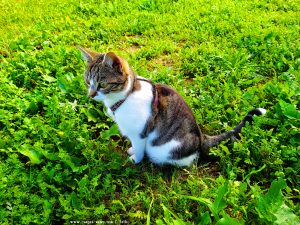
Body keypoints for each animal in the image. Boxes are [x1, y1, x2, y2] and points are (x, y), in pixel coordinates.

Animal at [78, 46, 266, 167]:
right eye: (88, 81)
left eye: (102, 84)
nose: (91, 94)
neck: (126, 96)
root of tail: (201, 136)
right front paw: (132, 151)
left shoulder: (140, 133)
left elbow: (139, 149)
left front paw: (135, 159)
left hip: (163, 149)